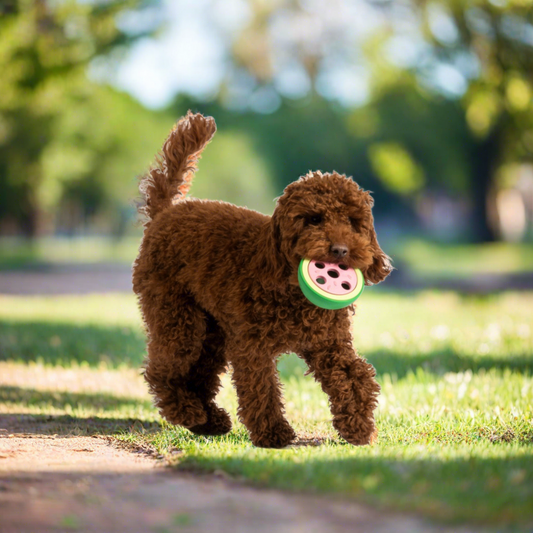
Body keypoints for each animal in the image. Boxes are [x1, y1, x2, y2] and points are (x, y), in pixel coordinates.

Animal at [133, 112, 390, 448]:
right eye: (314, 219)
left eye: (353, 222)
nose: (340, 250)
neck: (291, 288)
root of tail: (164, 213)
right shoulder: (252, 345)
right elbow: (261, 387)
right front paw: (273, 433)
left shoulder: (328, 343)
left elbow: (355, 375)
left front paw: (359, 426)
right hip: (176, 316)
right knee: (163, 369)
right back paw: (187, 412)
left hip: (213, 333)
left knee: (199, 374)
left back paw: (208, 420)